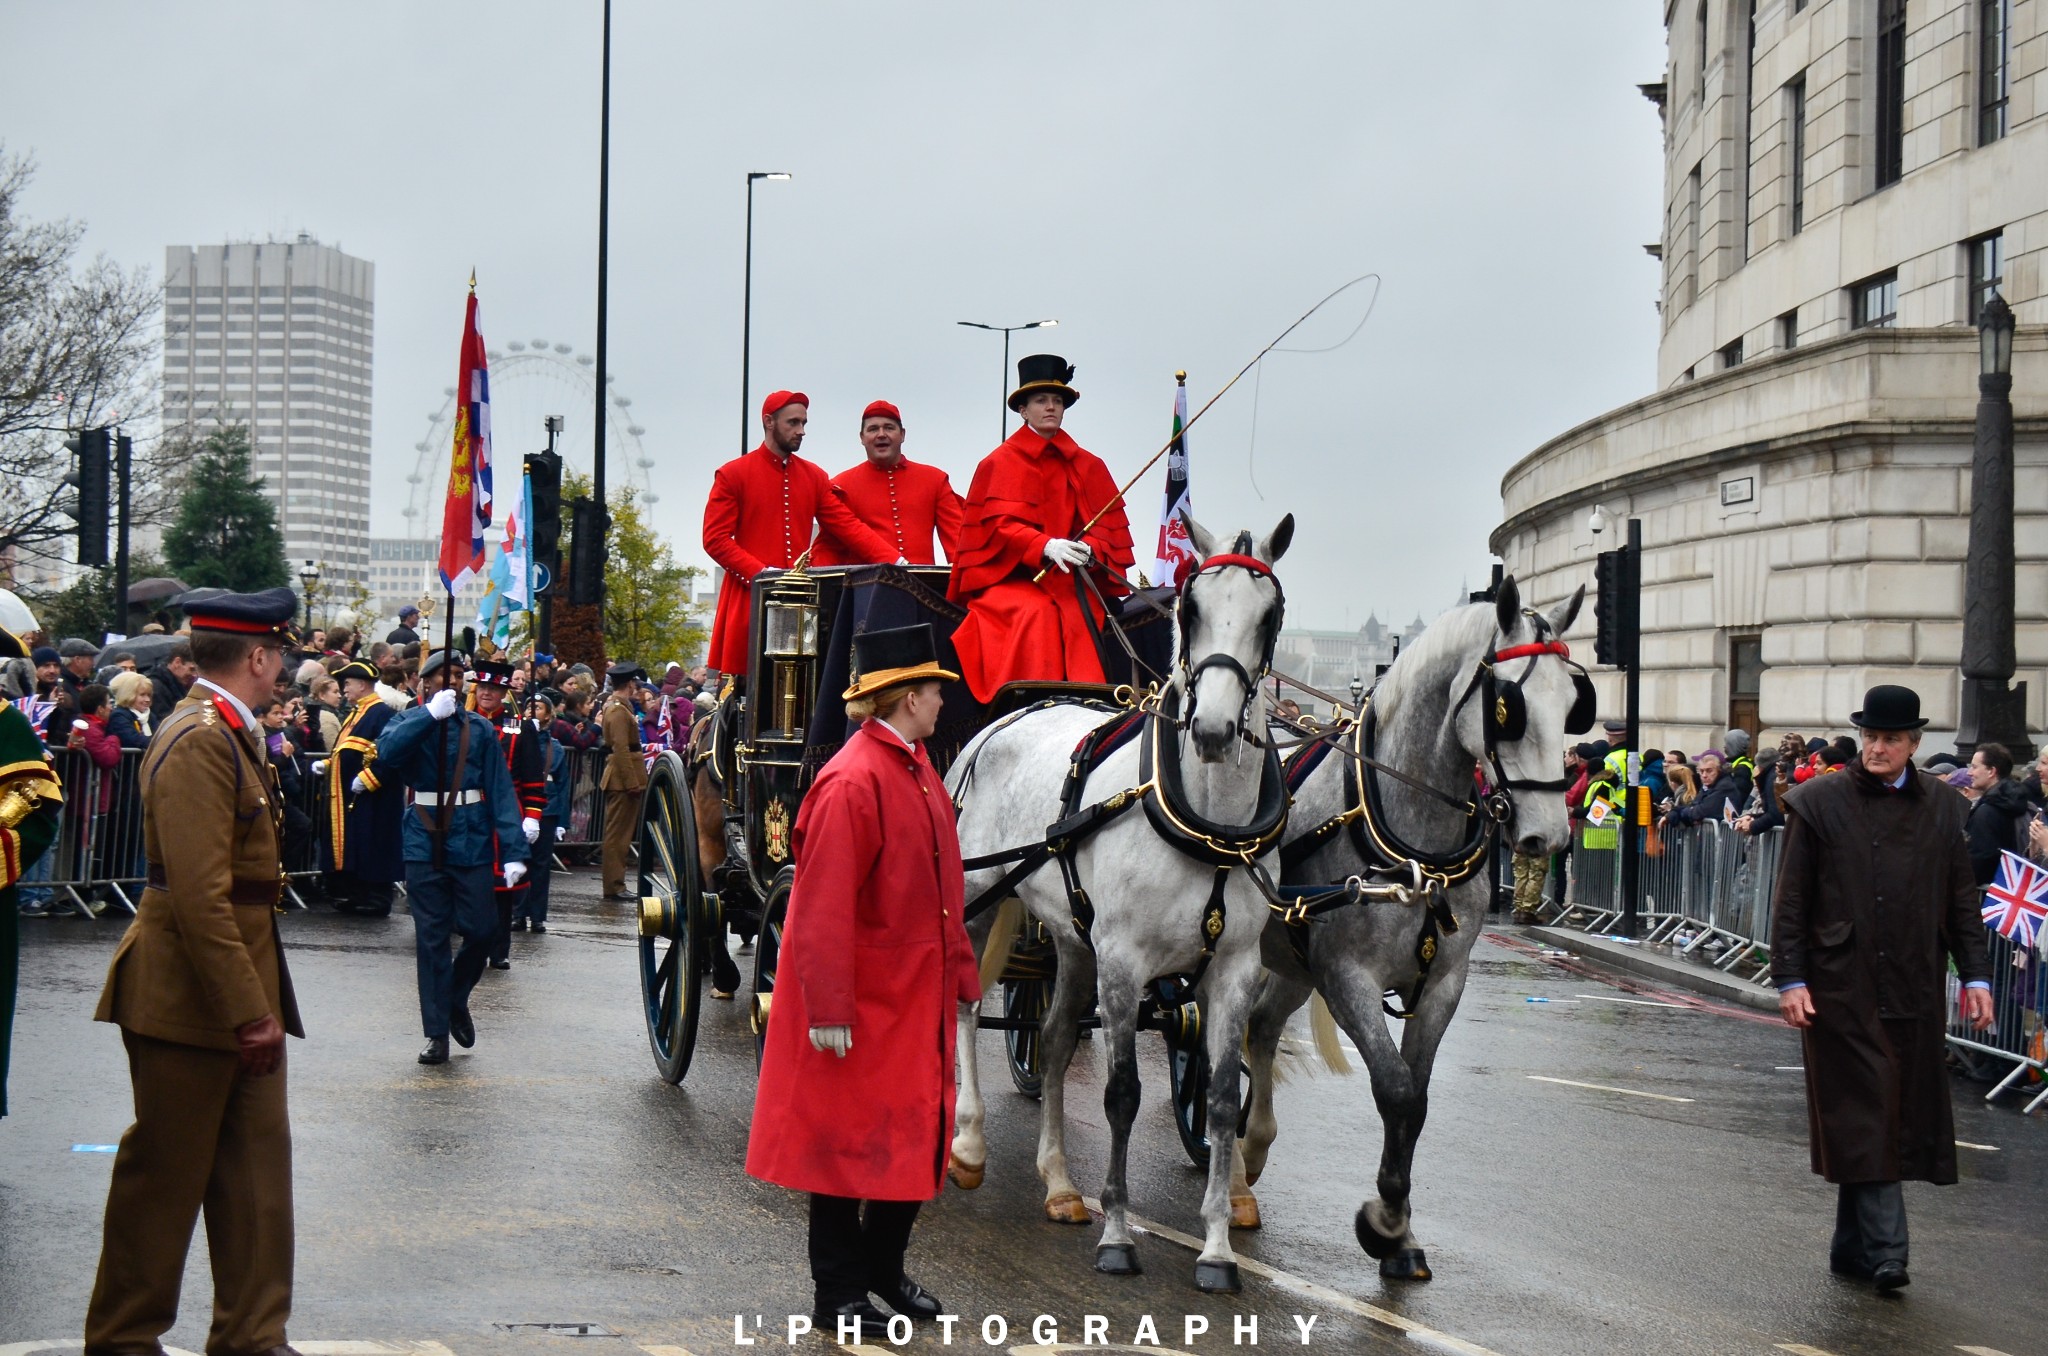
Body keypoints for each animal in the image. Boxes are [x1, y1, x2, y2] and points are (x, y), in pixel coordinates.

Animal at [946, 512, 1294, 1294]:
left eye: (1271, 616)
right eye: (1190, 610)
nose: (1214, 731)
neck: (1207, 823)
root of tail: (1004, 720)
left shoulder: (1231, 968)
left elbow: (1220, 1095)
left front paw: (1217, 1246)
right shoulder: (1126, 962)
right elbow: (1123, 1094)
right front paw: (1116, 1234)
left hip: (1075, 941)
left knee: (1050, 1040)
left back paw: (1057, 1181)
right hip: (979, 899)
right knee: (961, 1008)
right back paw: (968, 1143)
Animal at [1228, 577, 1581, 1278]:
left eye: (1575, 703)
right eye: (1509, 707)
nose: (1548, 837)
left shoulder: (1443, 981)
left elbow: (1416, 1097)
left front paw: (1401, 1227)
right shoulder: (1347, 977)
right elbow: (1394, 1088)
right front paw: (1385, 1220)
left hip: (1293, 962)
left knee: (1261, 1027)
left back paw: (1251, 1148)